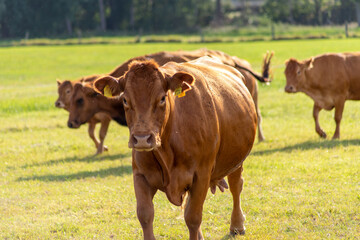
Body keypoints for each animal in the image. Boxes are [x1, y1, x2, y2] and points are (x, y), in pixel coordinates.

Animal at [93, 57, 256, 239]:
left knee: (236, 186)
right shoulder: (140, 175)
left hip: (237, 161)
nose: (142, 139)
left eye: (162, 98)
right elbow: (145, 214)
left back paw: (237, 225)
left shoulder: (201, 175)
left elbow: (193, 217)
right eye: (125, 100)